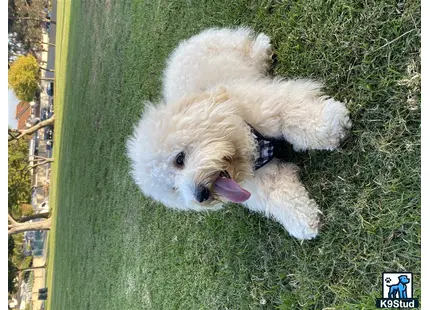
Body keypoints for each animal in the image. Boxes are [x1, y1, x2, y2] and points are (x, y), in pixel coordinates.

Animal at [126, 26, 352, 240]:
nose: (201, 195)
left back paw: (262, 48)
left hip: (231, 48)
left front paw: (332, 126)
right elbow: (281, 195)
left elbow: (298, 119)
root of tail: (178, 50)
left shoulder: (273, 107)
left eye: (179, 159)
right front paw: (303, 221)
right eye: (173, 189)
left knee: (248, 46)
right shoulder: (261, 179)